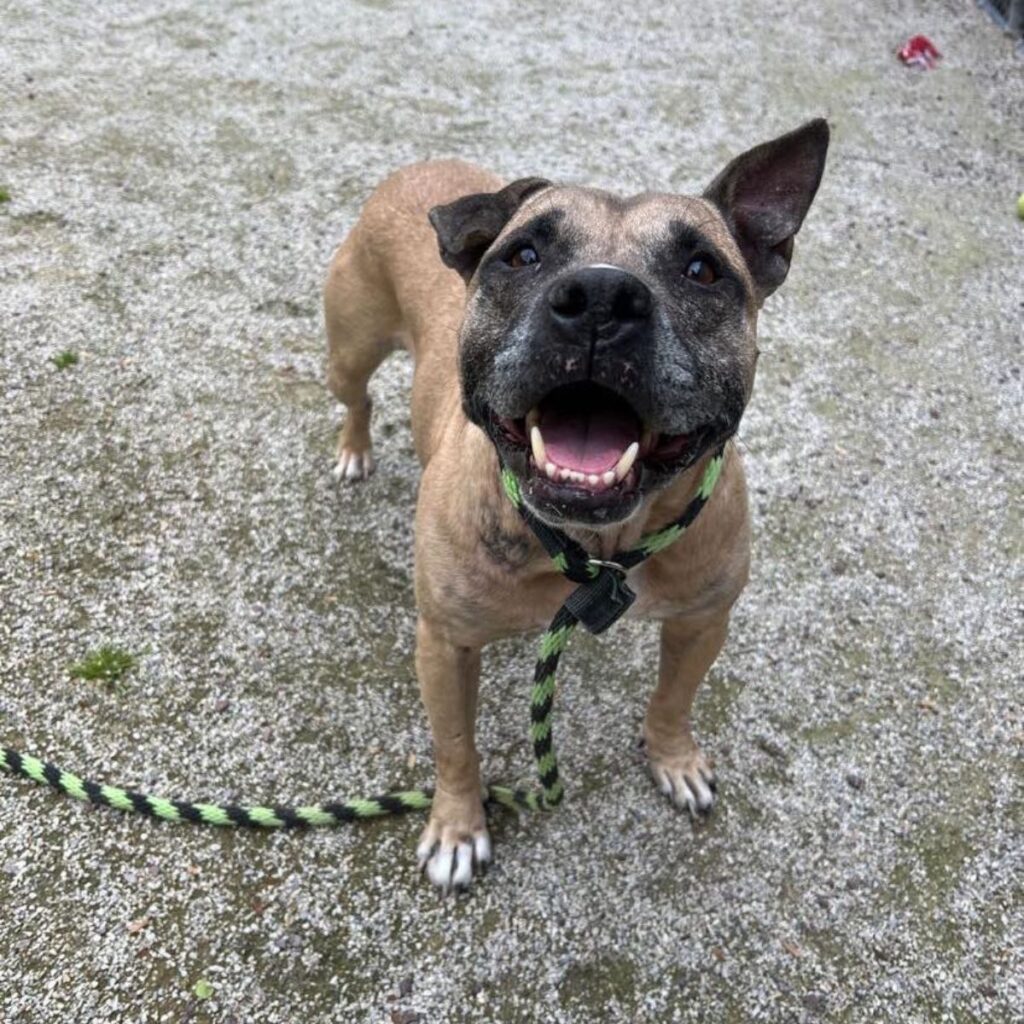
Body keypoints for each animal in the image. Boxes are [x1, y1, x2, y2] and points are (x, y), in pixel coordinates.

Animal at [323, 117, 827, 888]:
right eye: (523, 256)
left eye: (702, 269)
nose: (599, 296)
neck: (602, 548)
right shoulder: (445, 644)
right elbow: (455, 744)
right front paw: (458, 825)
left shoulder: (702, 621)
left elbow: (675, 697)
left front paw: (673, 757)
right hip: (350, 348)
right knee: (357, 399)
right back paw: (354, 449)